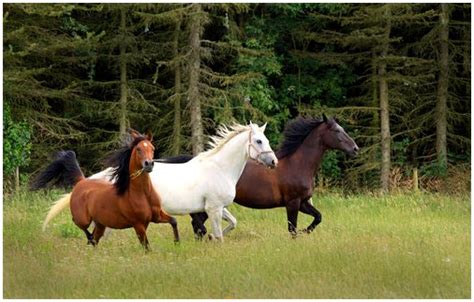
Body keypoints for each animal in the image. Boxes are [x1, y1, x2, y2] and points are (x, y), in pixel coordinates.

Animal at [32, 130, 180, 250]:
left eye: (152, 148)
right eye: (138, 149)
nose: (149, 164)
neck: (140, 194)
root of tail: (81, 181)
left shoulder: (156, 216)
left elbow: (173, 221)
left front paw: (177, 243)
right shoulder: (138, 224)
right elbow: (147, 247)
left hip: (101, 224)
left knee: (95, 238)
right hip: (84, 219)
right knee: (79, 224)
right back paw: (89, 238)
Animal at [43, 121, 278, 242]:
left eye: (265, 140)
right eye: (259, 141)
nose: (274, 161)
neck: (219, 168)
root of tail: (99, 178)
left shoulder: (215, 208)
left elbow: (231, 223)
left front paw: (209, 237)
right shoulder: (213, 208)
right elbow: (220, 234)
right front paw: (213, 238)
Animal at [189, 114, 360, 237]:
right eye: (337, 131)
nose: (355, 148)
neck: (298, 165)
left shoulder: (303, 202)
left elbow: (318, 217)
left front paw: (306, 231)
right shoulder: (293, 203)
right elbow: (292, 230)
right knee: (197, 223)